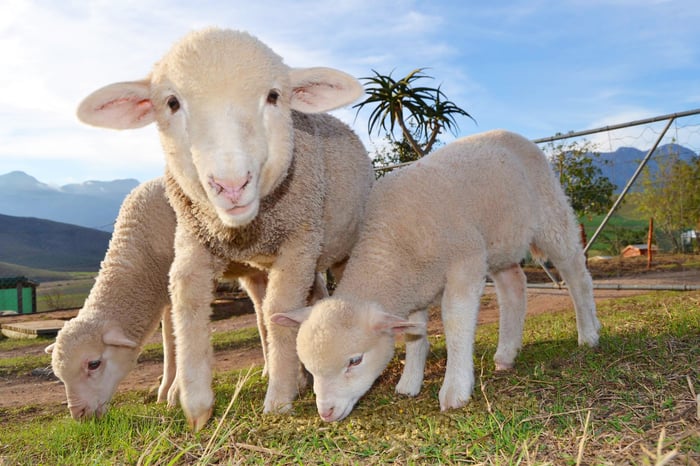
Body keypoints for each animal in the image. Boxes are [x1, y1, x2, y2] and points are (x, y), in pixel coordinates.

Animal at [45, 177, 178, 418]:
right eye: (60, 377)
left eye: (94, 364)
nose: (79, 415)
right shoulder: (166, 297)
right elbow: (170, 343)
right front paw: (165, 393)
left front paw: (177, 392)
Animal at [74, 28, 374, 430]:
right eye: (172, 103)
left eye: (274, 96)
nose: (231, 185)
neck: (244, 228)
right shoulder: (194, 240)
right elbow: (188, 303)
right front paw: (195, 404)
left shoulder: (299, 242)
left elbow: (281, 313)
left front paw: (279, 399)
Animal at [274, 129, 600, 420]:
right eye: (309, 367)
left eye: (355, 361)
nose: (325, 413)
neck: (389, 246)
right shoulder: (415, 288)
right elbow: (414, 334)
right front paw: (409, 382)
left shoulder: (465, 261)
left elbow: (455, 324)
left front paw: (455, 389)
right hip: (500, 244)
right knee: (514, 287)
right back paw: (506, 355)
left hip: (550, 216)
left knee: (576, 272)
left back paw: (588, 333)